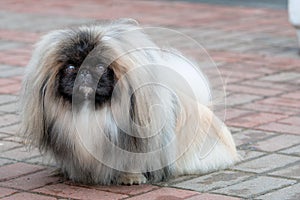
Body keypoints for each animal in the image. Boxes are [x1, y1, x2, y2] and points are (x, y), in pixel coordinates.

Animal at [19, 18, 239, 184]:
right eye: (71, 67)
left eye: (100, 67)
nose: (84, 72)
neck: (92, 110)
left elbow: (132, 162)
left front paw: (130, 177)